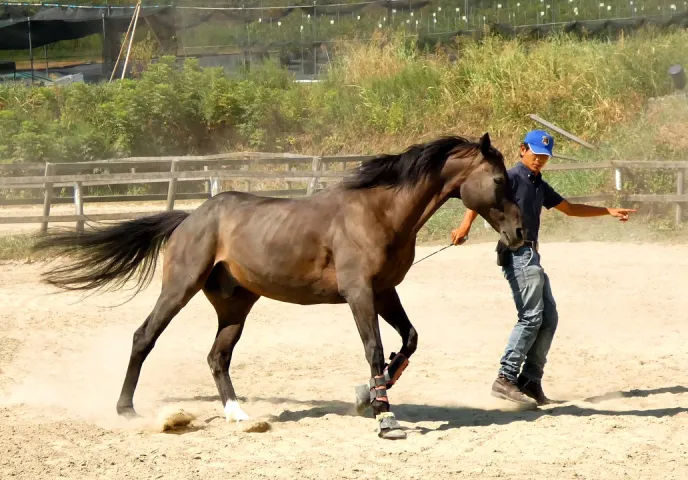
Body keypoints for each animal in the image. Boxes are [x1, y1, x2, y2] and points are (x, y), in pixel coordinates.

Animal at [32, 133, 524, 440]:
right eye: (500, 180)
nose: (520, 234)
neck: (379, 213)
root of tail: (190, 217)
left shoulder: (385, 291)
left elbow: (408, 341)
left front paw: (370, 393)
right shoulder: (360, 294)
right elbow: (372, 348)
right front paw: (384, 416)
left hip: (235, 306)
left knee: (217, 357)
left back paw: (239, 415)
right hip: (179, 288)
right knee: (144, 337)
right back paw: (127, 411)